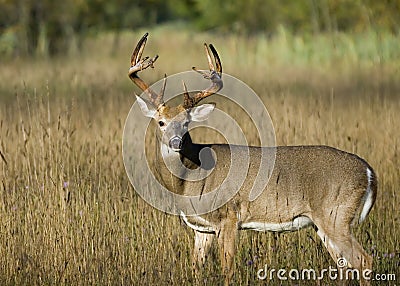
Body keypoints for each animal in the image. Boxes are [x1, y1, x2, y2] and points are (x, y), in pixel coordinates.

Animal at [130, 33, 376, 284]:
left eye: (186, 122)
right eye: (161, 122)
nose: (176, 142)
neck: (188, 179)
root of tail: (368, 172)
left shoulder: (228, 217)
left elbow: (228, 269)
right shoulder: (201, 228)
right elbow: (196, 268)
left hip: (335, 215)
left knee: (363, 260)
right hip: (324, 223)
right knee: (344, 264)